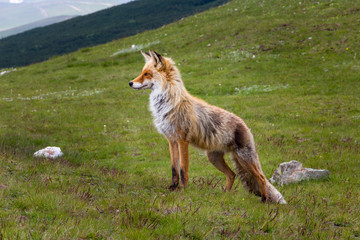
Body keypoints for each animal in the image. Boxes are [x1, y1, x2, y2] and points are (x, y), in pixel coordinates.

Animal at [129, 49, 286, 203]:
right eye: (142, 72)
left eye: (146, 74)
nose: (130, 83)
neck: (168, 103)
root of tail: (244, 124)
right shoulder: (171, 140)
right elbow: (174, 169)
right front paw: (172, 188)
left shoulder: (182, 140)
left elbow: (183, 169)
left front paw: (183, 190)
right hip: (214, 158)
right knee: (232, 175)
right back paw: (224, 195)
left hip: (244, 158)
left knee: (261, 177)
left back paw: (264, 199)